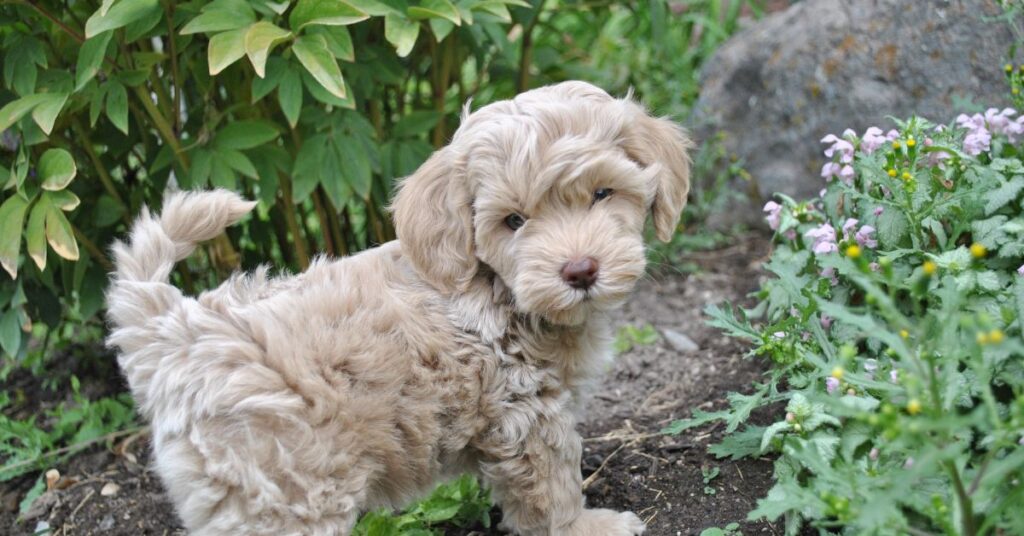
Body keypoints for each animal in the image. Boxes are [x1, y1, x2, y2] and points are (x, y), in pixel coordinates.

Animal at [108, 80, 692, 536]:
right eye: (513, 222)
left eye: (602, 193)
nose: (580, 270)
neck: (499, 290)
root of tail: (171, 328)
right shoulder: (526, 412)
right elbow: (552, 485)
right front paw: (588, 525)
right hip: (282, 493)